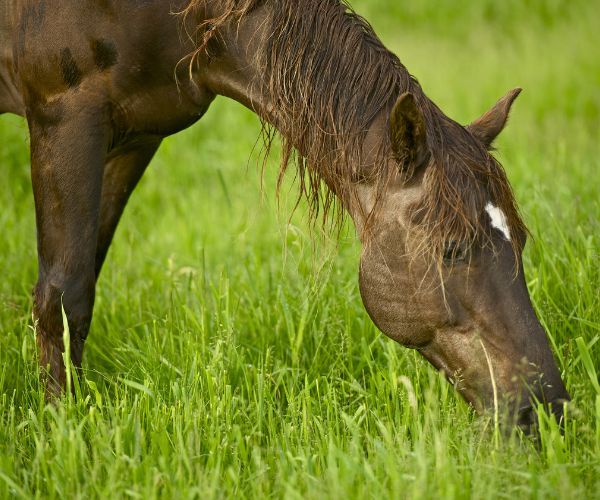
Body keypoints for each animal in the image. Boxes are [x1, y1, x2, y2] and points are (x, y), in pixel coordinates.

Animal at [1, 0, 572, 430]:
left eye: (520, 242)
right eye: (452, 250)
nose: (547, 406)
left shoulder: (134, 137)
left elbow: (84, 282)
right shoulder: (64, 116)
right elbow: (63, 295)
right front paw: (63, 430)